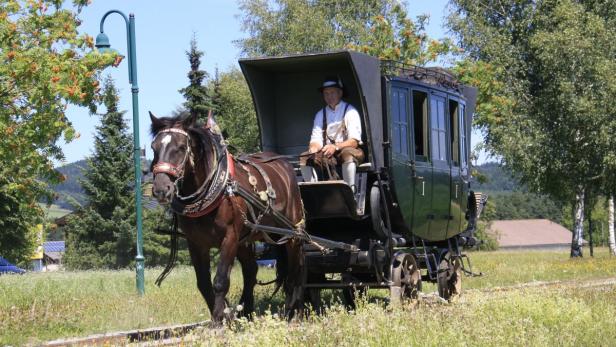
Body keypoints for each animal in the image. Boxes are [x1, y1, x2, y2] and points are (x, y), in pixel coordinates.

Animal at [147, 111, 306, 324]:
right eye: (154, 147)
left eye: (180, 147)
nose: (161, 189)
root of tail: (283, 163)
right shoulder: (196, 243)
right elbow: (203, 283)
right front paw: (226, 313)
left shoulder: (229, 237)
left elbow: (220, 281)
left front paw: (217, 321)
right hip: (246, 239)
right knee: (251, 270)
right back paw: (247, 312)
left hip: (291, 233)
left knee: (296, 269)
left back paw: (292, 311)